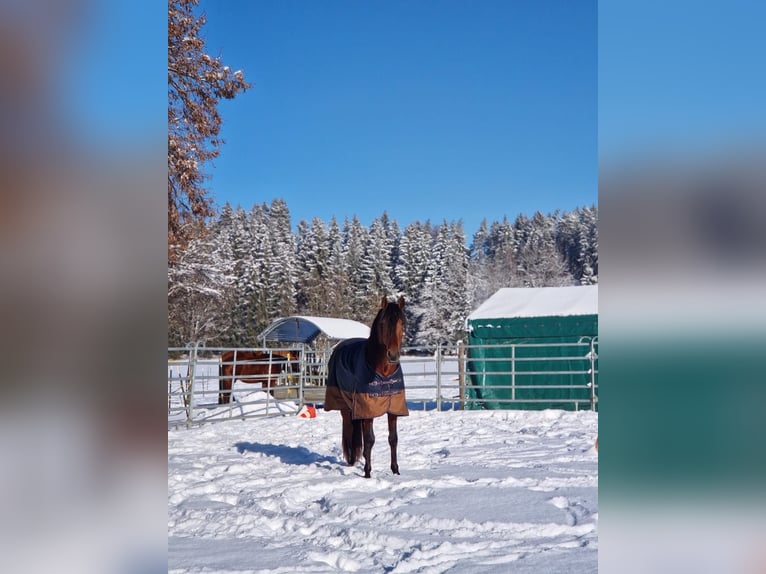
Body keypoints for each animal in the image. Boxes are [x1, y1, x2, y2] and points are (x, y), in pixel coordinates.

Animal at [324, 296, 408, 478]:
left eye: (402, 323)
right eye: (383, 323)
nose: (393, 355)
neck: (383, 372)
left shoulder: (393, 408)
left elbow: (393, 439)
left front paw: (395, 470)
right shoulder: (368, 409)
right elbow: (370, 439)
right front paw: (368, 472)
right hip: (346, 408)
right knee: (349, 431)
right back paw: (351, 461)